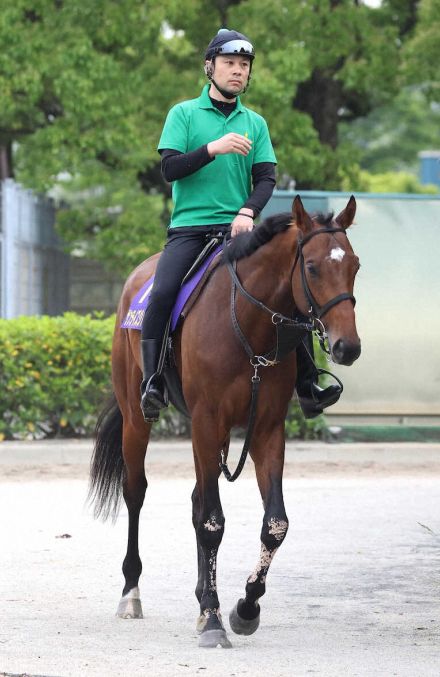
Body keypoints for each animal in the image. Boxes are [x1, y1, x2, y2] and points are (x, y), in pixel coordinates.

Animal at [88, 193, 360, 648]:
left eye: (355, 265)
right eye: (312, 267)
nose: (348, 347)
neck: (249, 325)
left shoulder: (266, 430)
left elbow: (274, 524)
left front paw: (243, 608)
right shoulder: (205, 421)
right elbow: (212, 522)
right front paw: (214, 619)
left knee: (198, 497)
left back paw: (202, 597)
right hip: (136, 419)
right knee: (136, 492)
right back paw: (131, 593)